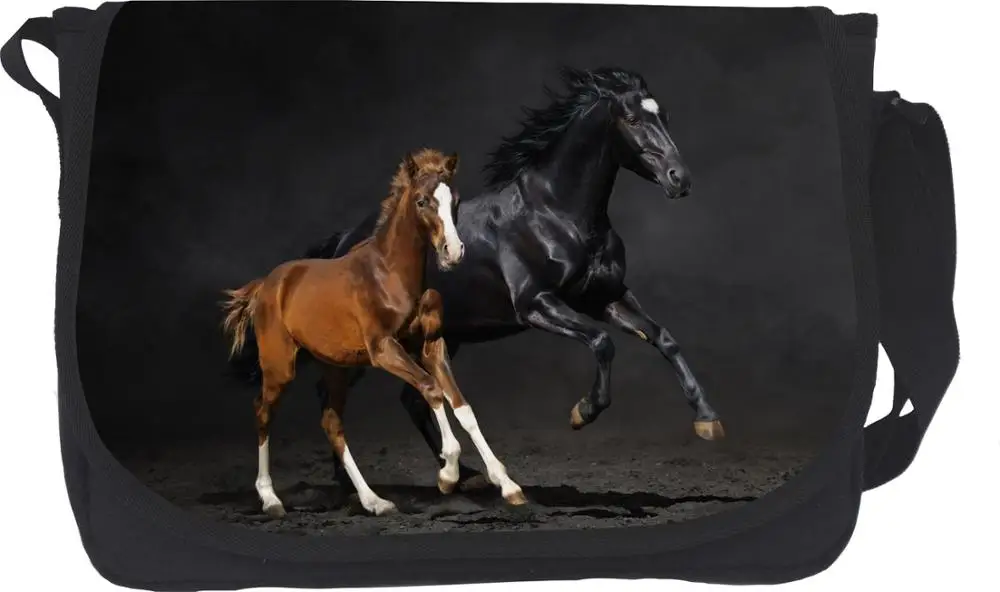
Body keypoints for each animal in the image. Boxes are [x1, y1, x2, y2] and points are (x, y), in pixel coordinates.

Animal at [220, 149, 526, 517]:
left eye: (454, 200)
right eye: (422, 201)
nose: (453, 252)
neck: (391, 274)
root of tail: (266, 284)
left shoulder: (431, 346)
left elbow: (461, 405)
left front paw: (507, 485)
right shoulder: (383, 349)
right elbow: (431, 389)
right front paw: (448, 474)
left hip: (336, 367)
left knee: (331, 422)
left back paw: (374, 501)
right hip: (280, 365)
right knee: (263, 412)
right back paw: (270, 498)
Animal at [232, 66, 725, 489]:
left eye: (664, 116)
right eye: (632, 118)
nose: (679, 179)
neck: (558, 213)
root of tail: (341, 244)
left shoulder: (604, 297)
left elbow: (663, 338)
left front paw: (707, 419)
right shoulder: (537, 304)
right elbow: (603, 343)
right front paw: (583, 412)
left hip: (444, 338)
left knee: (411, 398)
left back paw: (459, 473)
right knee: (331, 395)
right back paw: (352, 482)